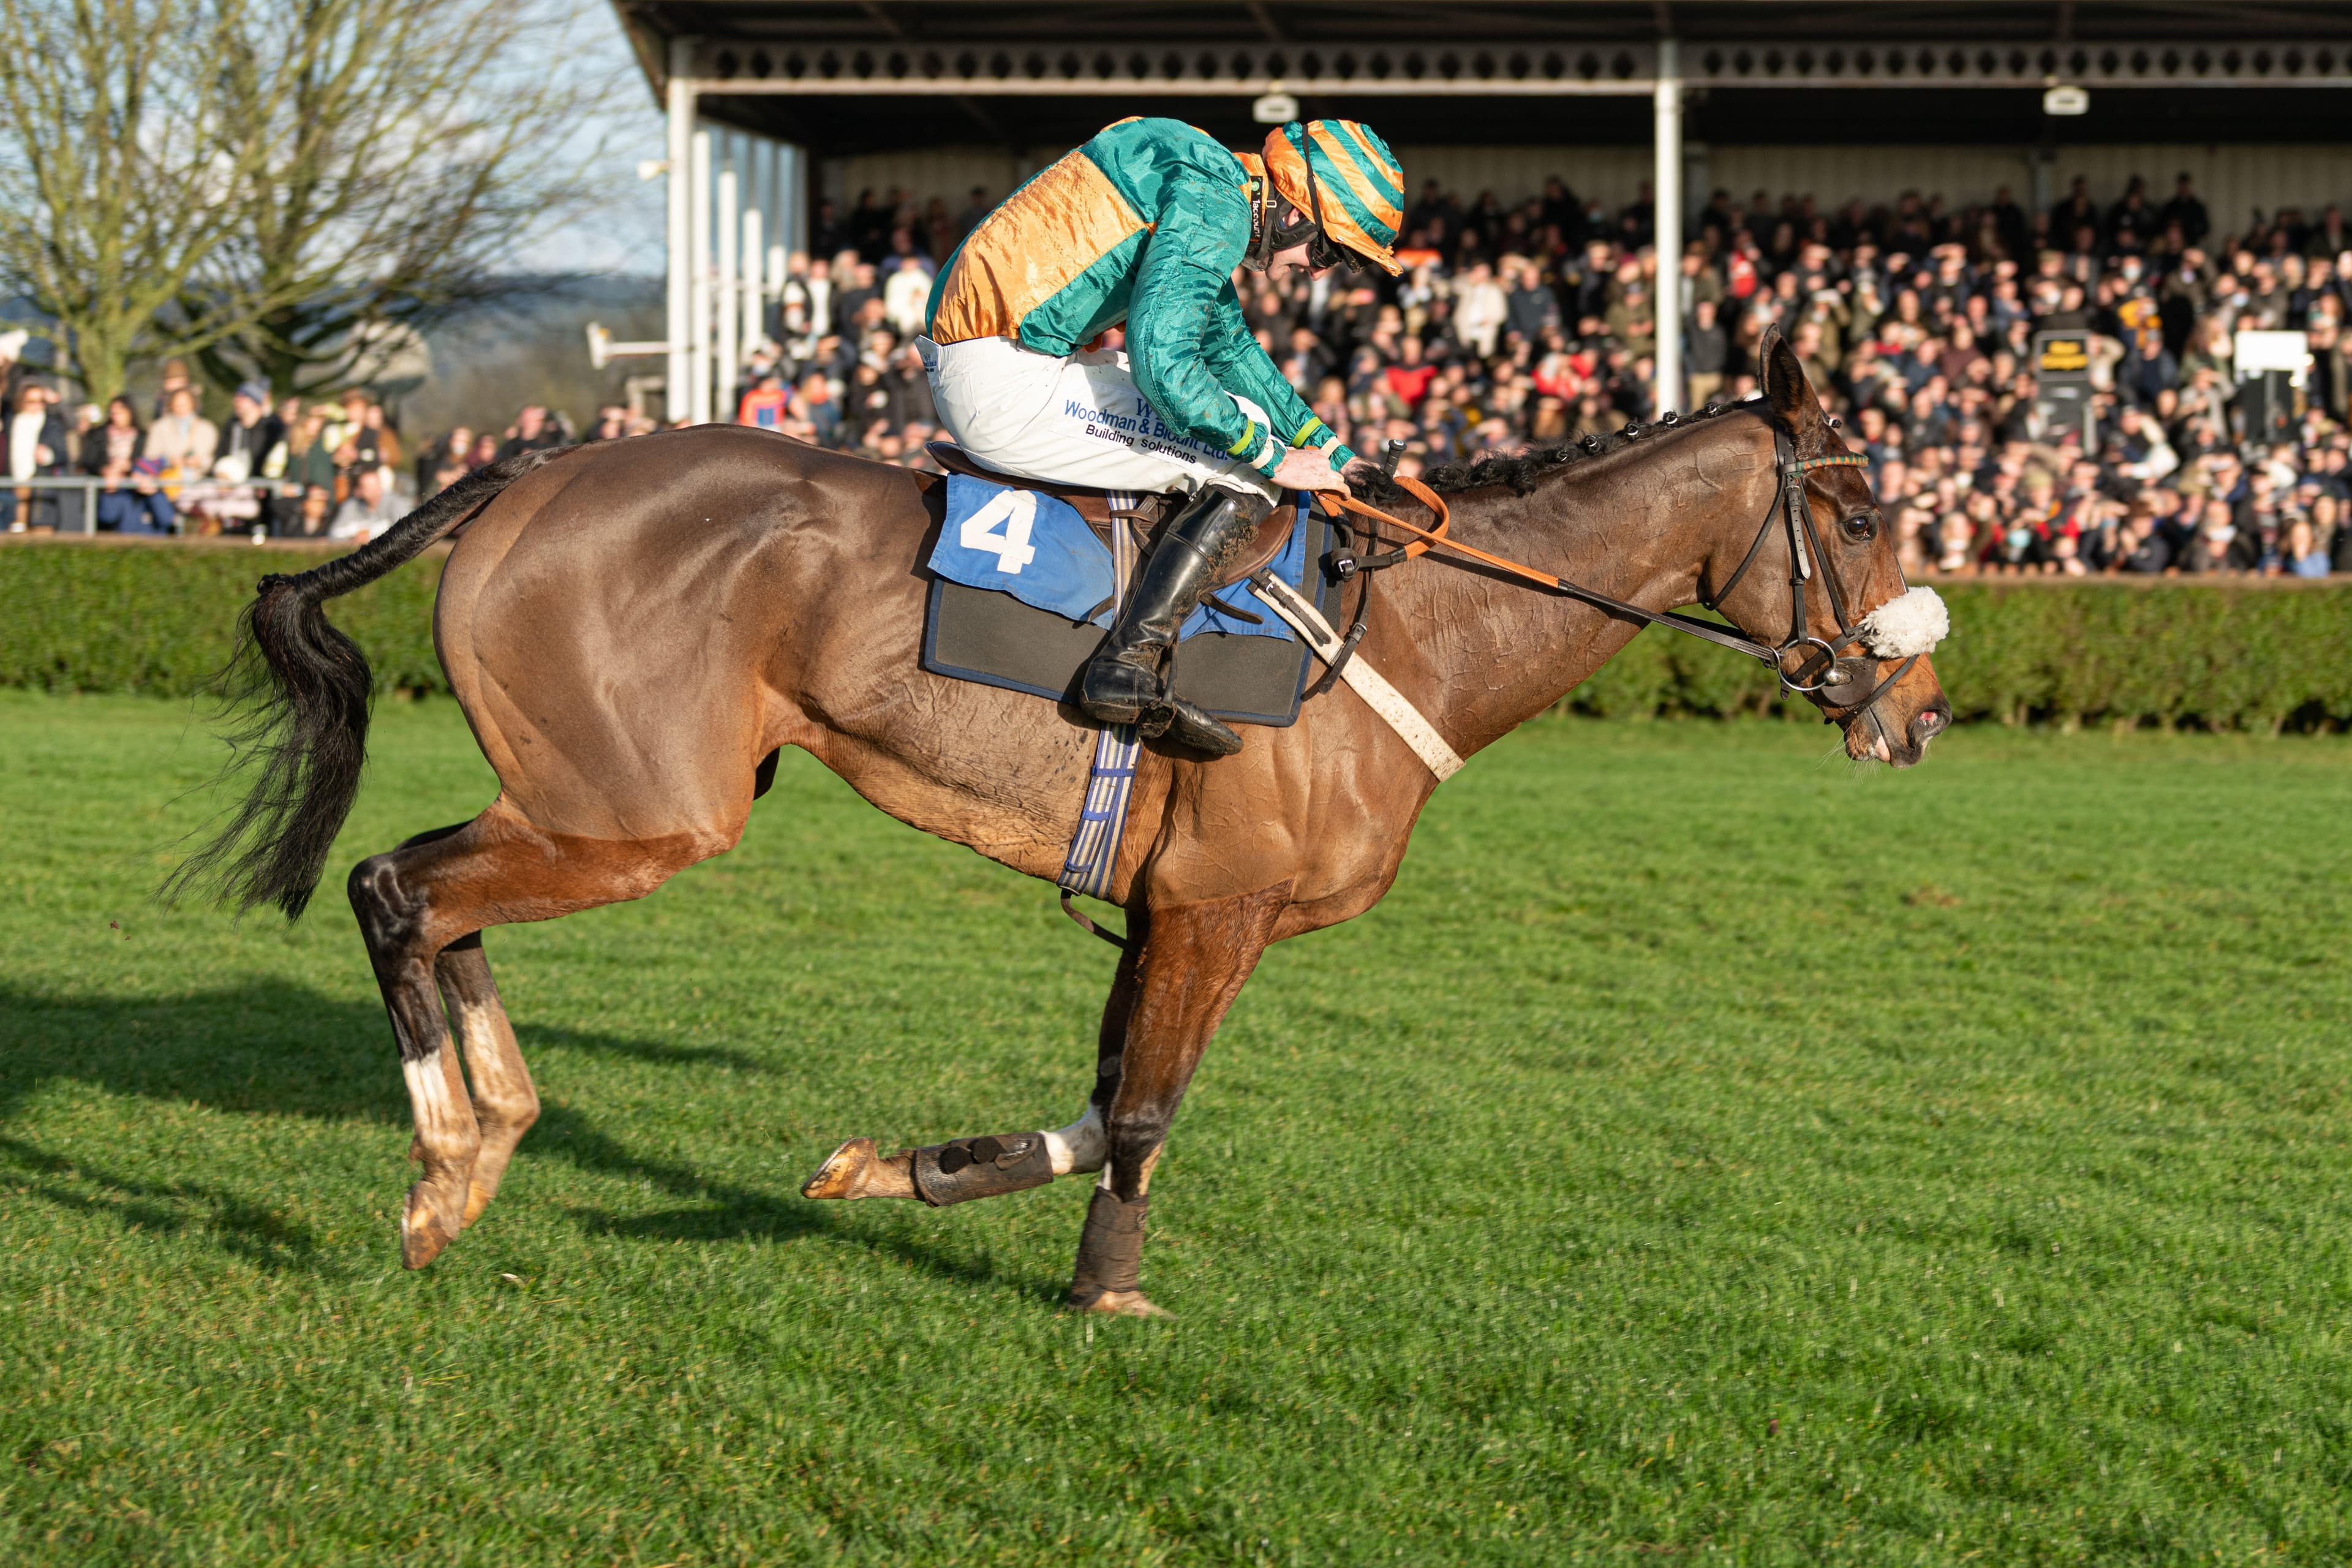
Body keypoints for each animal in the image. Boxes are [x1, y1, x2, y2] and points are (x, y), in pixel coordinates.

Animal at [173, 328, 1948, 1316]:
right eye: (1861, 509)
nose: (1919, 711)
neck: (1414, 623)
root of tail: (527, 472)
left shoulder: (1167, 908)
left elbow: (1104, 1104)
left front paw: (902, 1169)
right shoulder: (1218, 904)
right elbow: (1145, 1112)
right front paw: (1099, 1284)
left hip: (585, 793)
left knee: (446, 901)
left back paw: (490, 1138)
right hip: (640, 812)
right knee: (395, 884)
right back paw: (444, 1159)